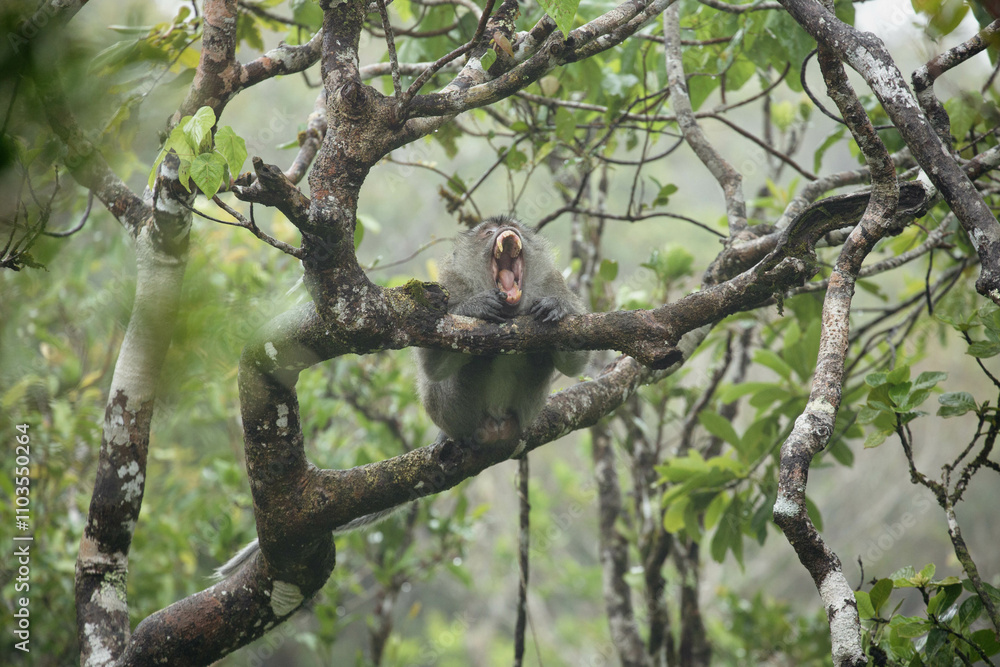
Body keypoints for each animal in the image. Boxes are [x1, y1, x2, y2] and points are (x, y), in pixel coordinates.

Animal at [213, 215, 587, 581]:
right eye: (488, 231)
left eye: (514, 226)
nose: (505, 232)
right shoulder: (447, 290)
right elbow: (434, 364)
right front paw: (476, 307)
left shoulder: (555, 282)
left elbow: (574, 362)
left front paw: (557, 309)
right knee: (471, 367)